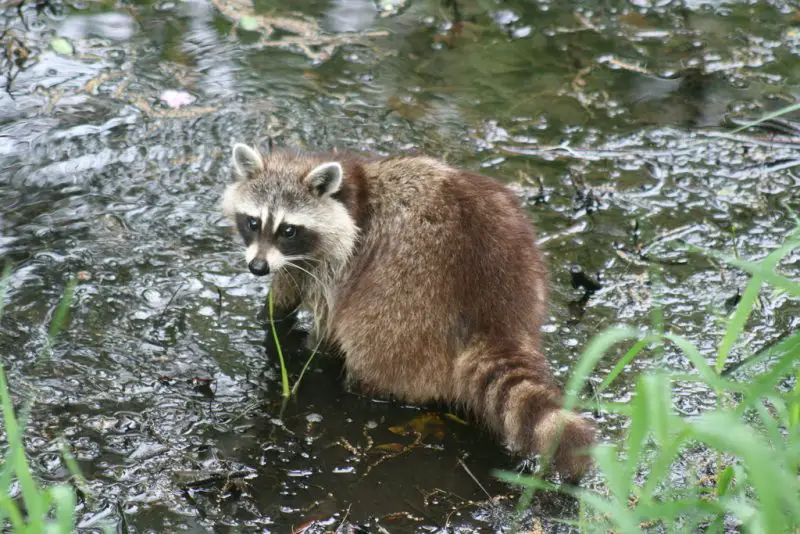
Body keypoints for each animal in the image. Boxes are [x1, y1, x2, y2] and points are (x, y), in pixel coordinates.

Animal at [221, 143, 597, 480]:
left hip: (406, 300)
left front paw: (299, 339)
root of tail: (496, 315)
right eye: (253, 222)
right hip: (521, 248)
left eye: (288, 229)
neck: (350, 192)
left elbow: (318, 315)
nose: (257, 267)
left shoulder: (338, 263)